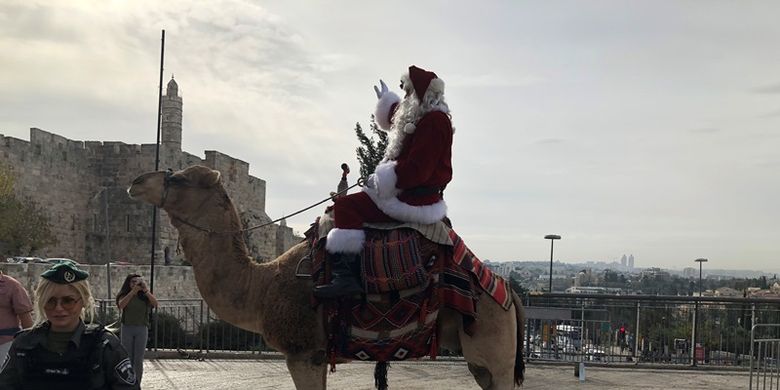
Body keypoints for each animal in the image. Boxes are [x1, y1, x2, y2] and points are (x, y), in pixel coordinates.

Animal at [129, 165, 524, 390]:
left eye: (179, 177)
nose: (136, 182)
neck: (261, 286)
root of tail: (506, 291)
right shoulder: (318, 356)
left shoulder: (302, 353)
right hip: (482, 359)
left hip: (493, 344)